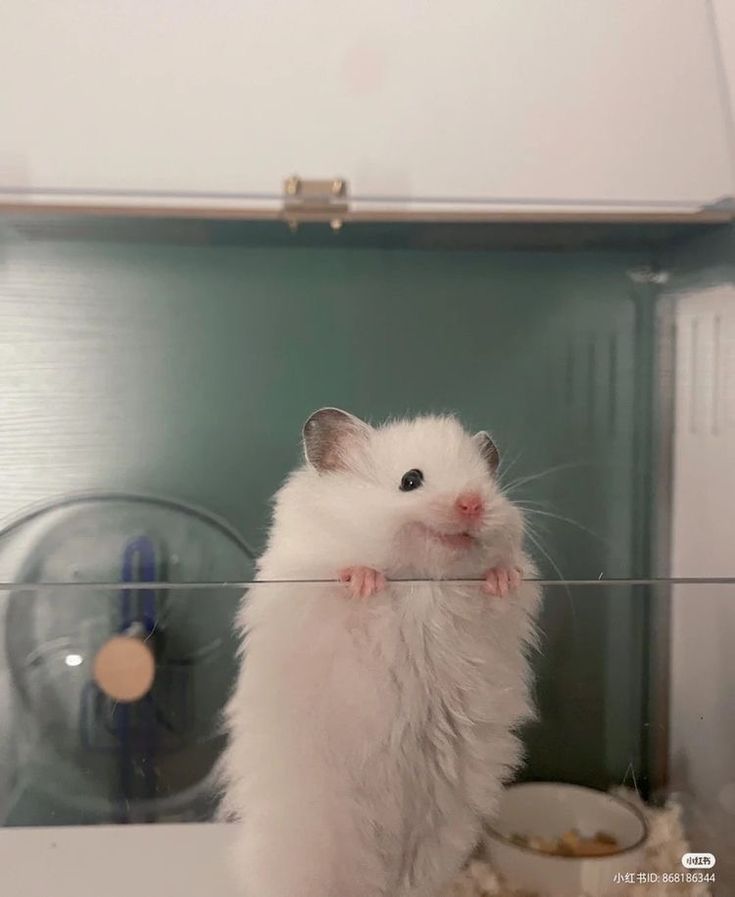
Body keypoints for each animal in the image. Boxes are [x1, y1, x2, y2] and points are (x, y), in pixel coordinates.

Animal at [223, 410, 540, 896]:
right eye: (411, 480)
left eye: (488, 482)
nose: (473, 503)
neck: (423, 581)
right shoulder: (313, 590)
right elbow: (350, 589)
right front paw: (364, 578)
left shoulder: (496, 619)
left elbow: (502, 588)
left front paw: (502, 576)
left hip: (436, 840)